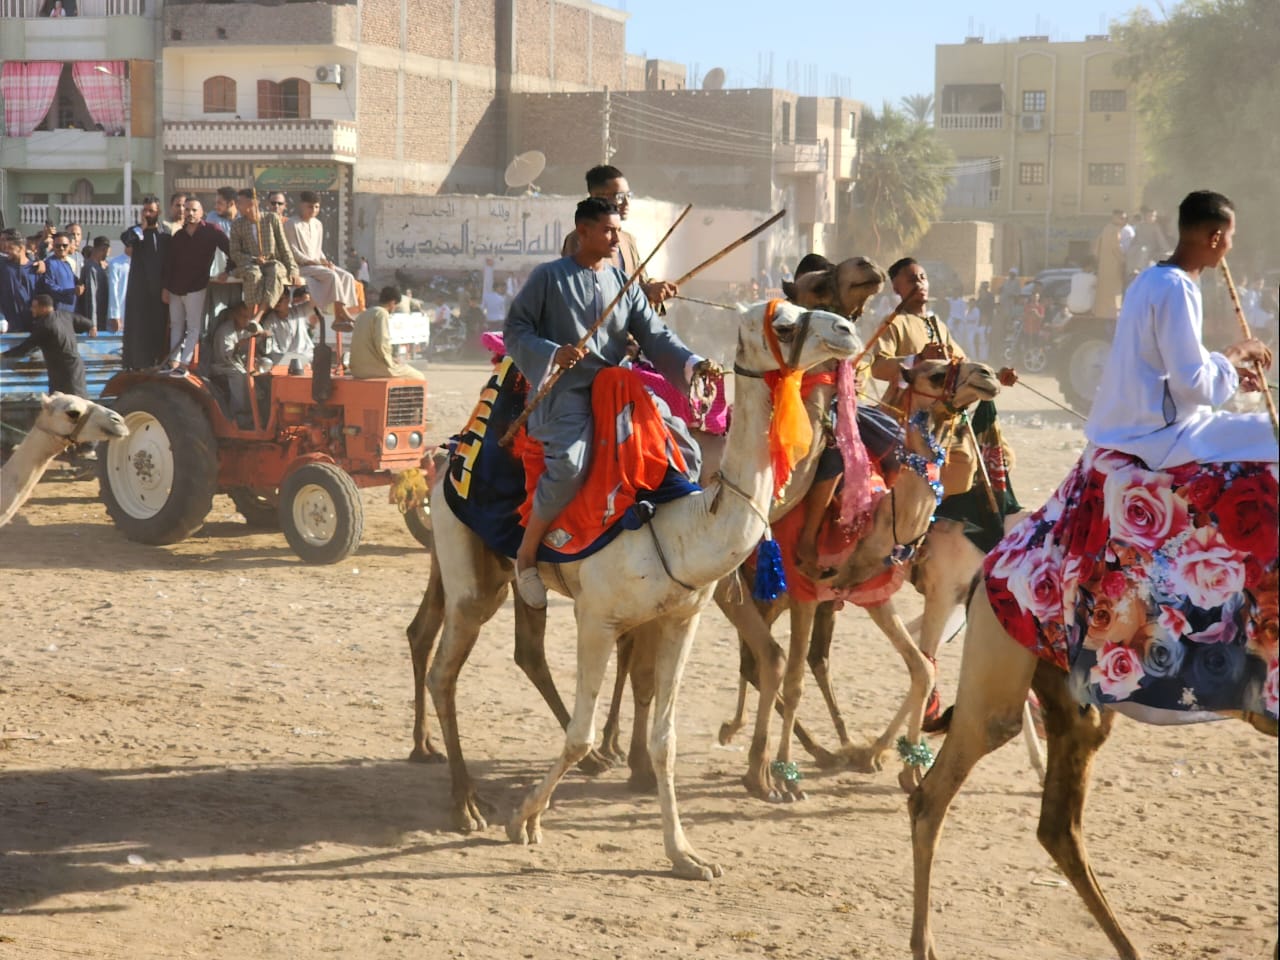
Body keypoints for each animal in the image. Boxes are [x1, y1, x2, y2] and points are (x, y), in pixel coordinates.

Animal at [419, 300, 860, 880]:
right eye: (783, 323)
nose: (847, 330)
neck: (680, 525)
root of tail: (448, 455)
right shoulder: (597, 618)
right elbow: (580, 733)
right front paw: (525, 819)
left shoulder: (679, 619)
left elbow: (664, 739)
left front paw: (686, 855)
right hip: (468, 566)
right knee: (444, 670)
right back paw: (465, 804)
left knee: (510, 650)